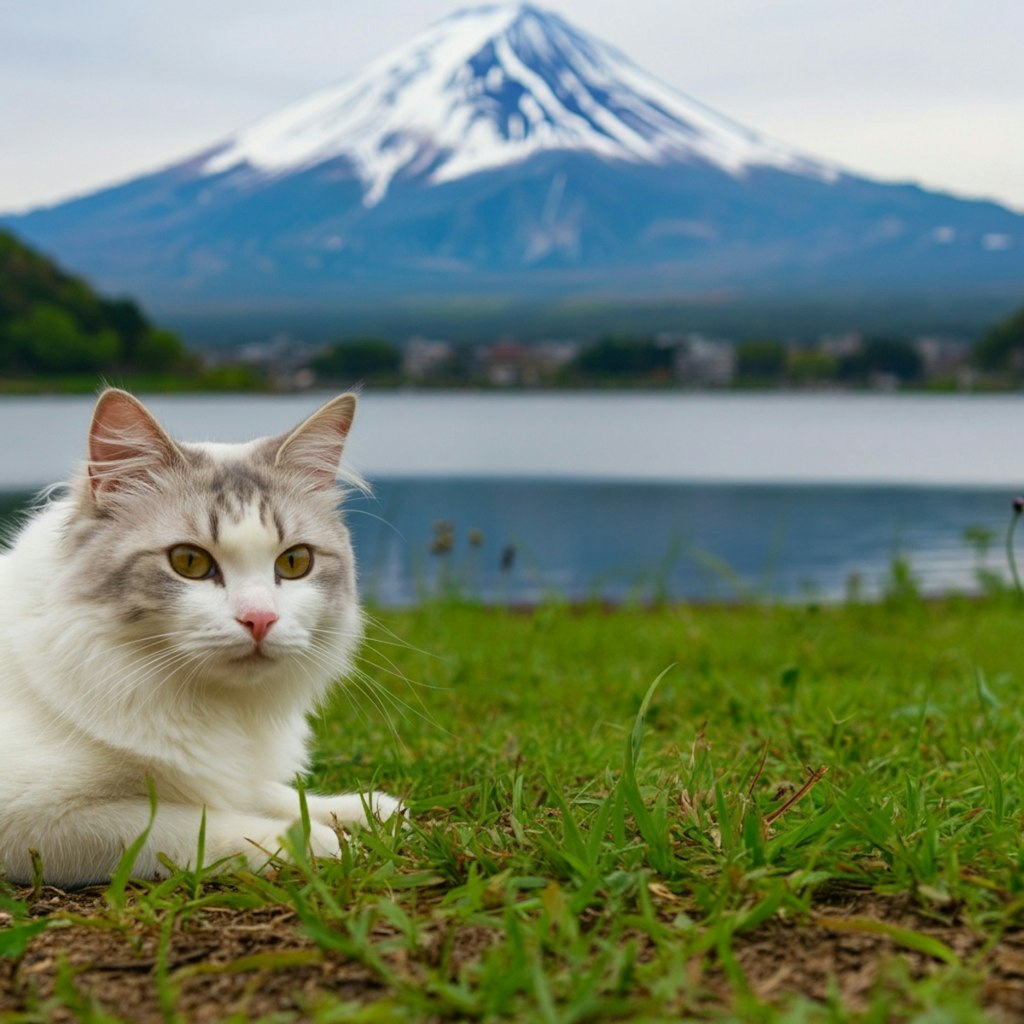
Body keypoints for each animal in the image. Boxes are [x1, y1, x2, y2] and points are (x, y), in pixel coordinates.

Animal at [0, 387, 399, 884]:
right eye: (189, 562)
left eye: (295, 562)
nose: (260, 619)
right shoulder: (34, 815)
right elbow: (191, 822)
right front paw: (315, 842)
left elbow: (273, 794)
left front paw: (366, 810)